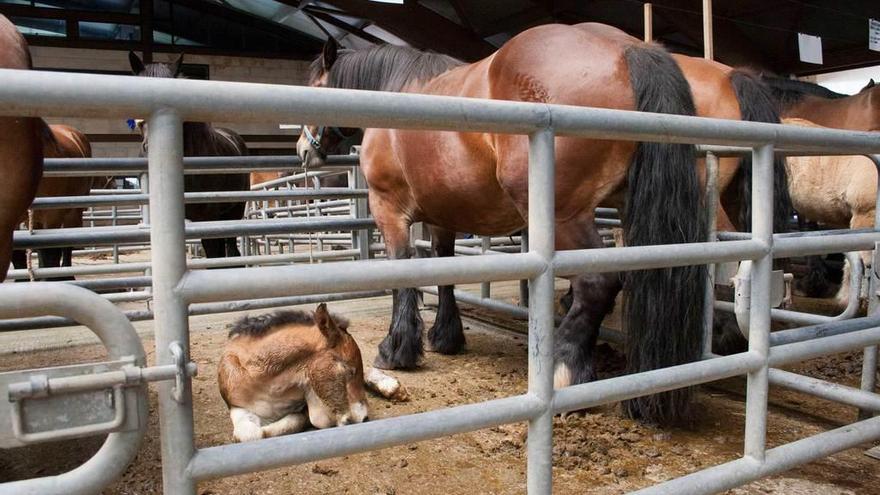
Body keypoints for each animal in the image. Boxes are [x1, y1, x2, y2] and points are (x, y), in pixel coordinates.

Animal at [220, 304, 406, 444]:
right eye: (350, 370)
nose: (365, 418)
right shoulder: (236, 405)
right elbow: (249, 435)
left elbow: (297, 420)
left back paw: (393, 388)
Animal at [300, 24, 796, 426]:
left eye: (312, 83)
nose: (305, 151)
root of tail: (628, 50)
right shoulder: (445, 217)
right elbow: (445, 273)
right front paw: (446, 337)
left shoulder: (390, 211)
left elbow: (405, 275)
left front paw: (397, 348)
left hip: (567, 214)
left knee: (599, 284)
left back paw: (565, 368)